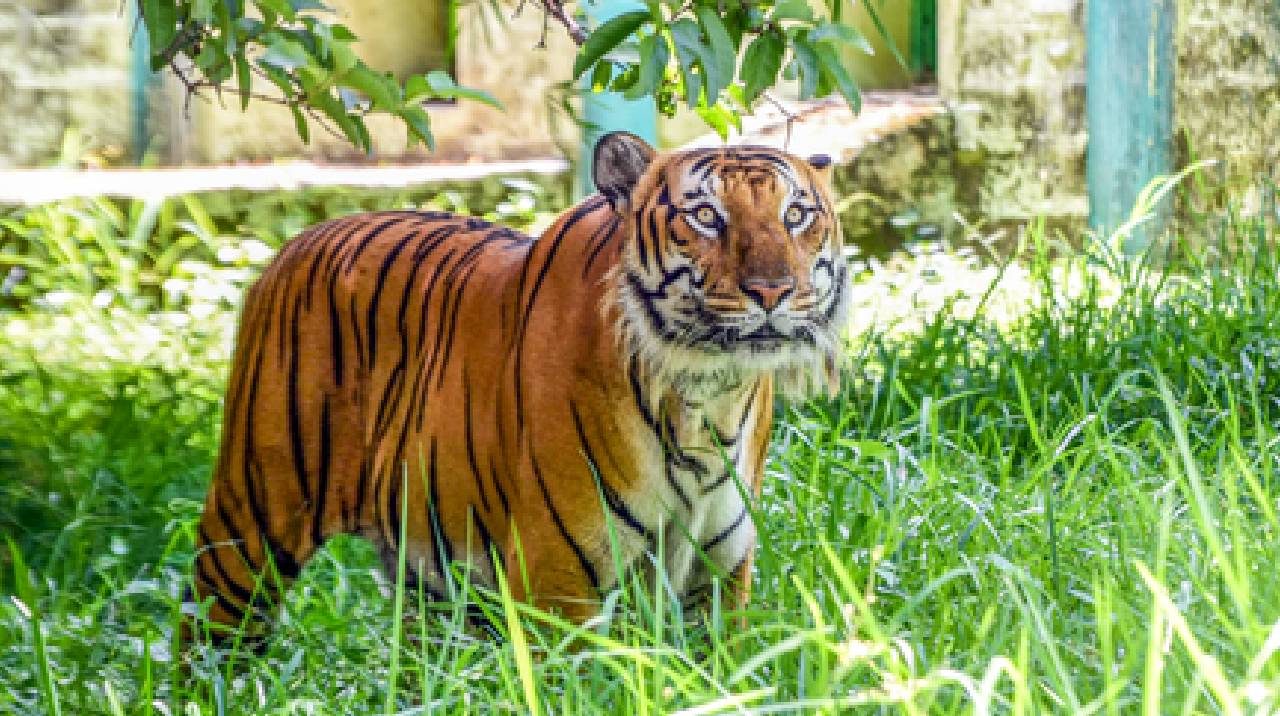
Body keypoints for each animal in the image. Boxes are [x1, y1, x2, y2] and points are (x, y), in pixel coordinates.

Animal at [187, 131, 851, 642]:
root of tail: (295, 243)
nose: (772, 291)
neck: (704, 392)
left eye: (795, 215)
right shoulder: (557, 579)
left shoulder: (715, 580)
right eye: (707, 217)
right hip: (251, 522)